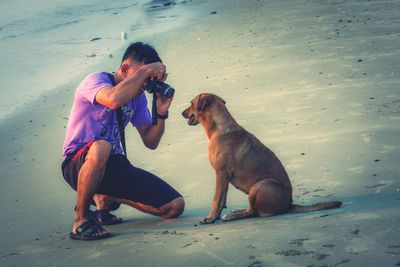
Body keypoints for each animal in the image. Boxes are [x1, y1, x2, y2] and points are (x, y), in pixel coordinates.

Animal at [183, 93, 342, 224]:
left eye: (191, 103)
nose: (181, 112)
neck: (219, 128)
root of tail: (289, 205)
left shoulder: (221, 174)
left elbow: (216, 200)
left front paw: (210, 218)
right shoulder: (224, 178)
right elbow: (222, 200)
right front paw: (215, 217)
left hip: (260, 185)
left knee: (253, 212)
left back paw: (234, 215)